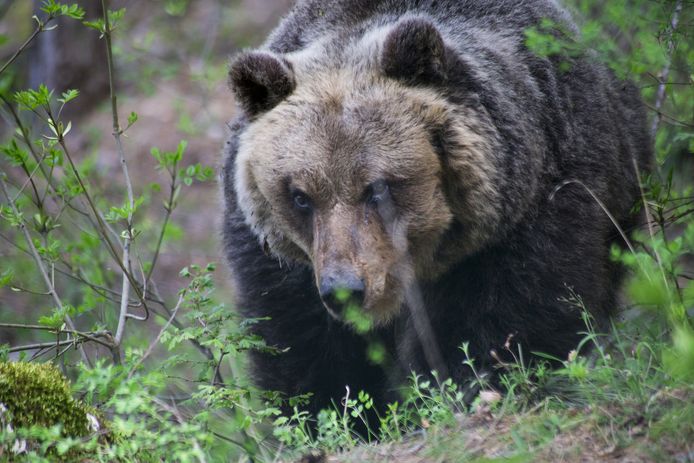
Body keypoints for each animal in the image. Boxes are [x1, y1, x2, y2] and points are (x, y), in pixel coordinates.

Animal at [222, 0, 652, 416]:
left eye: (377, 186)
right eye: (300, 195)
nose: (345, 289)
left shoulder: (532, 208)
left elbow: (511, 316)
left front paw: (471, 385)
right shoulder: (284, 265)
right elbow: (303, 346)